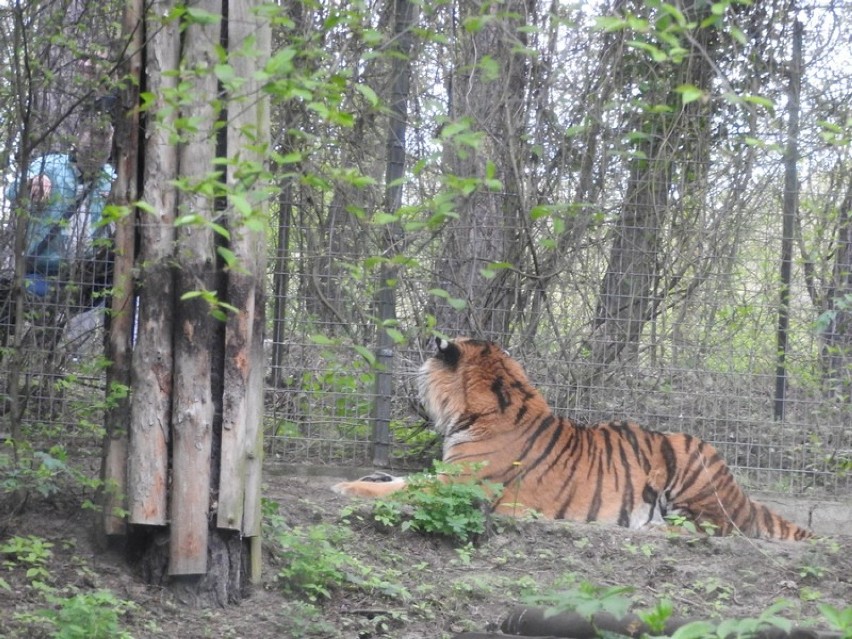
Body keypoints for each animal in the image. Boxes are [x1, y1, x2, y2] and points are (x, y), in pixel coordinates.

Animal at [332, 338, 812, 544]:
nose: (408, 389)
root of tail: (740, 492)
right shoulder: (447, 476)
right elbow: (400, 478)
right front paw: (369, 476)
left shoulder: (459, 487)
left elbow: (402, 489)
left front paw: (346, 486)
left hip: (690, 472)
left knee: (713, 527)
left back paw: (652, 526)